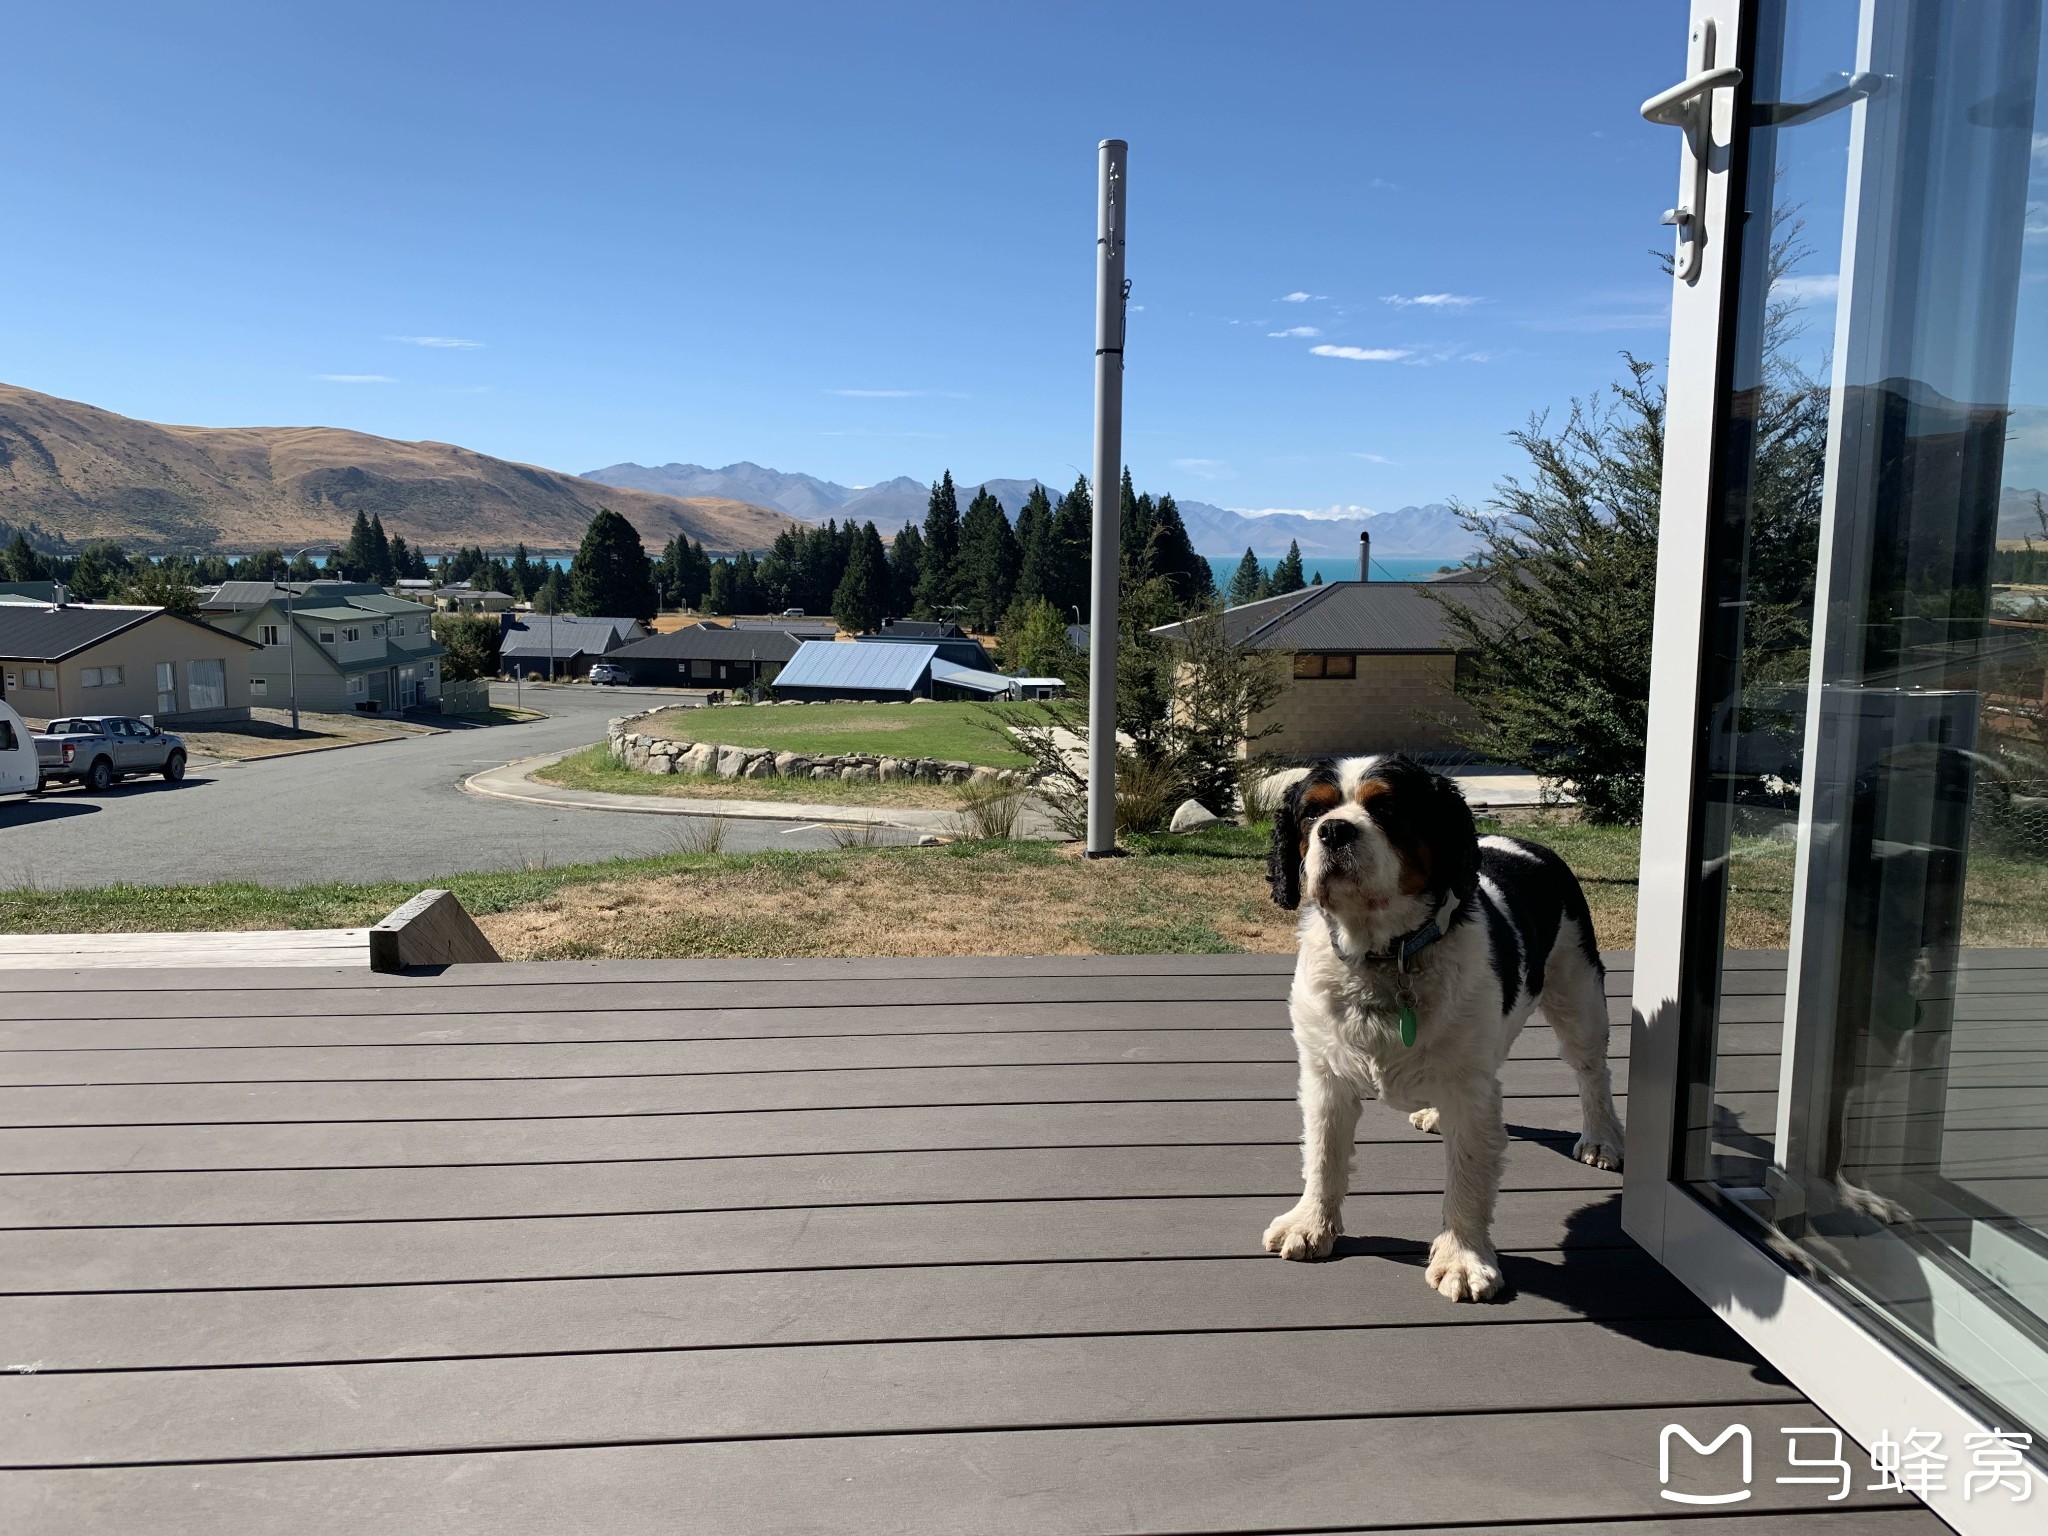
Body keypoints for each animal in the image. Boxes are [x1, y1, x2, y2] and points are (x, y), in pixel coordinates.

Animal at [1261, 755, 1624, 1301]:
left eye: (1386, 807)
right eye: (1312, 812)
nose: (1334, 830)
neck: (1386, 955)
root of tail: (1526, 842)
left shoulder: (1470, 1086)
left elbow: (1469, 1173)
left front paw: (1463, 1257)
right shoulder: (1325, 1073)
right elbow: (1323, 1153)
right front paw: (1310, 1224)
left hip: (1577, 991)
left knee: (1591, 1070)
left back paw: (1601, 1137)